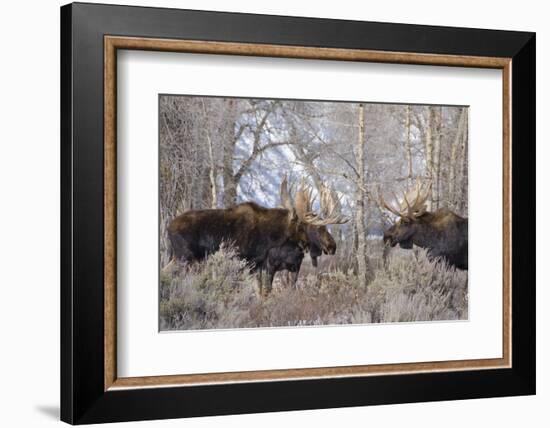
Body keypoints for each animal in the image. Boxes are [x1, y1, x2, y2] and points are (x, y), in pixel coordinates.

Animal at [167, 176, 350, 294]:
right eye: (314, 227)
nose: (332, 246)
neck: (273, 236)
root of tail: (168, 228)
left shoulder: (260, 265)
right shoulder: (254, 263)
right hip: (184, 258)